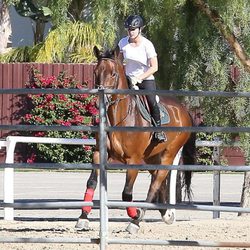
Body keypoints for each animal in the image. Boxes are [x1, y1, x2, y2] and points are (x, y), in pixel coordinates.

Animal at [75, 46, 196, 233]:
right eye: (96, 72)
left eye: (113, 74)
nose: (101, 101)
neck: (118, 118)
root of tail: (183, 110)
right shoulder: (99, 154)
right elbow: (92, 183)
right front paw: (83, 218)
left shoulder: (133, 161)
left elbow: (127, 192)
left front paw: (134, 216)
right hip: (152, 156)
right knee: (158, 180)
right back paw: (165, 213)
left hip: (168, 155)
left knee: (156, 183)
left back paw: (138, 220)